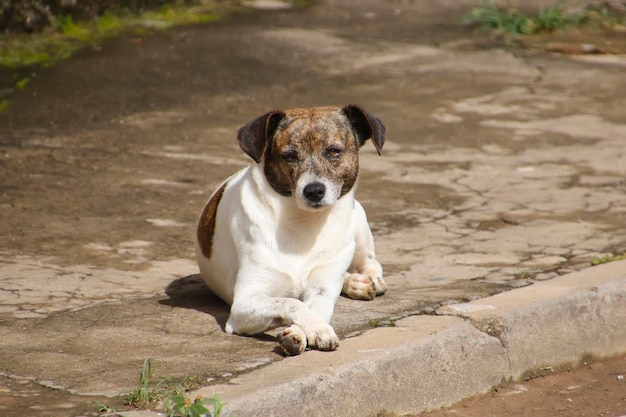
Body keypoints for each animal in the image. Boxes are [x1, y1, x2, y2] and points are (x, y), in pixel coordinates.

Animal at [195, 104, 386, 354]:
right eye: (289, 156)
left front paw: (303, 331)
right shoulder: (244, 304)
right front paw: (314, 329)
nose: (314, 191)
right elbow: (292, 303)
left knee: (371, 263)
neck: (303, 223)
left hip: (359, 222)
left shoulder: (322, 292)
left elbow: (313, 307)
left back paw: (367, 280)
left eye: (334, 151)